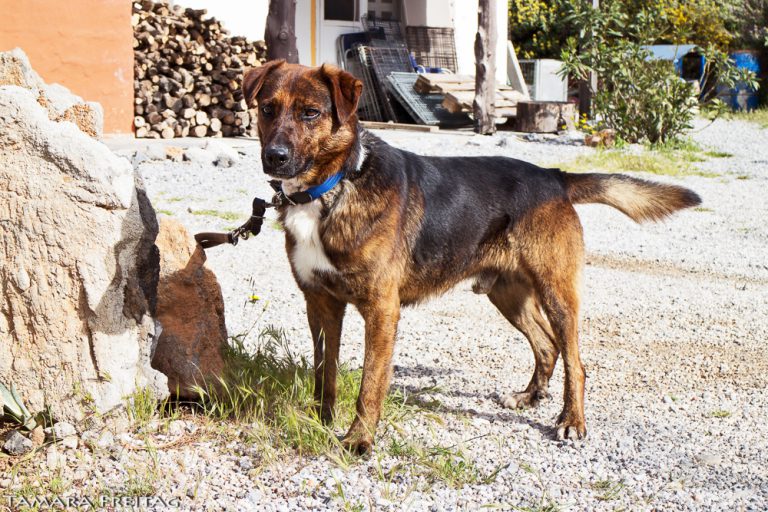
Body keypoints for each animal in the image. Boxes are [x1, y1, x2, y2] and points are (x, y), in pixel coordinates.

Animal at [242, 58, 704, 454]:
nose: (274, 157)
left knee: (575, 360)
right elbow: (326, 374)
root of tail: (554, 177)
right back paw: (529, 397)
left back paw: (572, 420)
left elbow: (370, 382)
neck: (333, 187)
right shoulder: (320, 304)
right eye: (267, 109)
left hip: (557, 292)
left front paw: (359, 440)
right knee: (546, 345)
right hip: (508, 295)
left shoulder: (381, 309)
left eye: (310, 113)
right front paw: (320, 422)